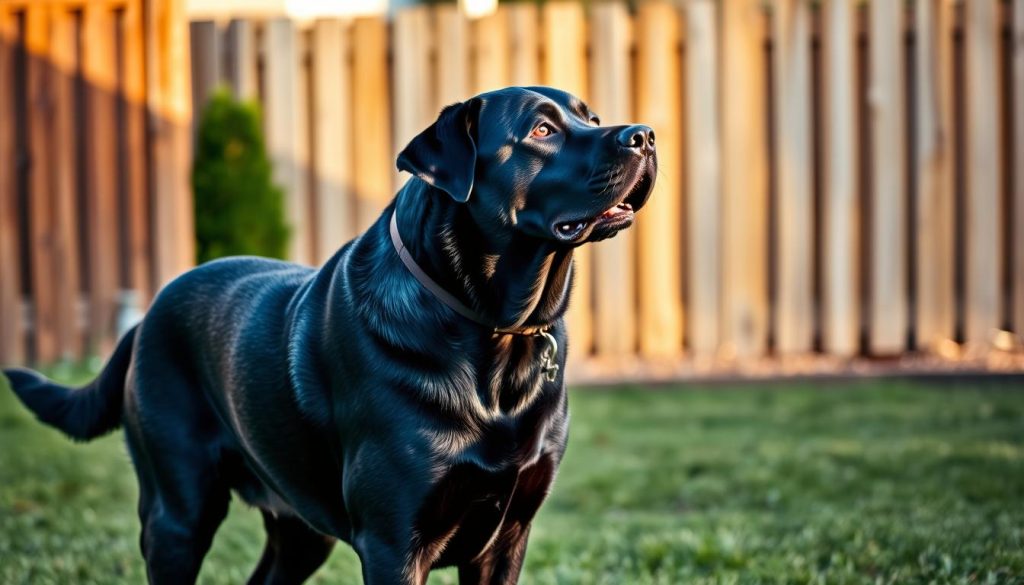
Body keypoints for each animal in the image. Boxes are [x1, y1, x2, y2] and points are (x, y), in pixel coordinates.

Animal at [2, 84, 655, 581]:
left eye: (592, 117)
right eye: (542, 130)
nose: (645, 134)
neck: (497, 334)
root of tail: (148, 314)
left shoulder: (508, 537)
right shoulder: (394, 542)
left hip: (298, 532)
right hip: (176, 513)